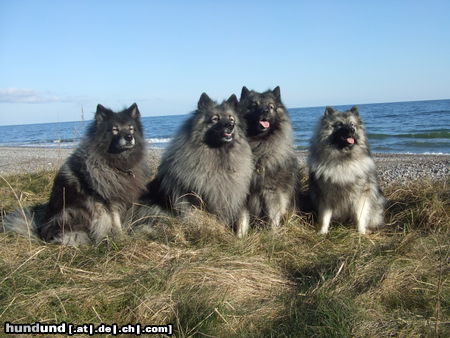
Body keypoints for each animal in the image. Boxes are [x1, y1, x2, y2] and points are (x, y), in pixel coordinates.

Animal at [3, 103, 148, 246]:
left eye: (131, 129)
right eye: (115, 129)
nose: (129, 137)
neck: (115, 163)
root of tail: (41, 231)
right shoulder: (108, 200)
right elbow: (115, 221)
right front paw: (120, 237)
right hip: (72, 212)